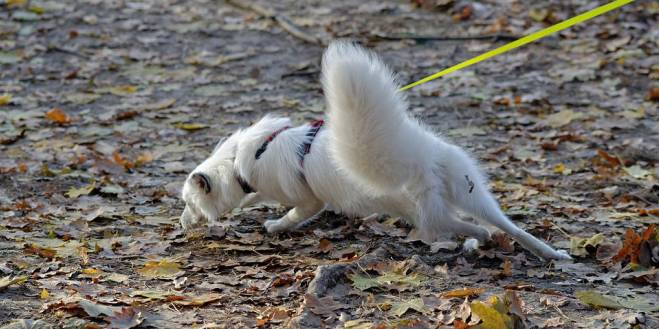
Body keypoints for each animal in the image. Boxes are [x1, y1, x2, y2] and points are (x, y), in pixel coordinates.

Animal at [182, 41, 572, 258]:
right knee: (504, 225)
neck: (239, 160)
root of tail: (416, 161)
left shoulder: (307, 199)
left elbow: (292, 213)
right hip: (468, 192)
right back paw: (550, 253)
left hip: (427, 215)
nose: (181, 224)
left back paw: (480, 240)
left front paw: (275, 226)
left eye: (188, 203)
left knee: (466, 227)